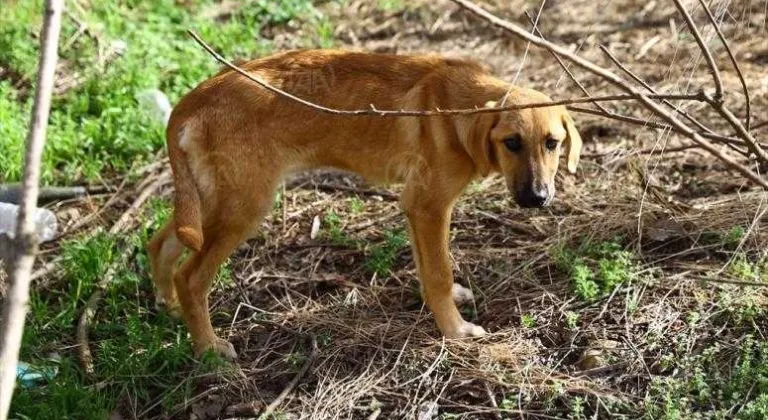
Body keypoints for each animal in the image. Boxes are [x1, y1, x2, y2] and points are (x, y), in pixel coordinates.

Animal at [146, 48, 584, 358]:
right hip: (244, 206)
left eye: (552, 143)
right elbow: (439, 272)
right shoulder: (429, 205)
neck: (457, 108)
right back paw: (209, 350)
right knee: (192, 277)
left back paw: (168, 306)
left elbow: (427, 267)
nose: (537, 199)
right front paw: (455, 331)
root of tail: (192, 100)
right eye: (511, 143)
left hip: (208, 200)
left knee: (160, 243)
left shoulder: (415, 207)